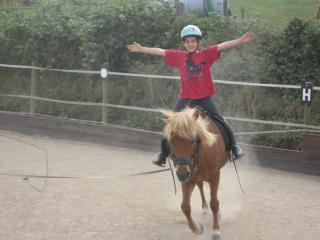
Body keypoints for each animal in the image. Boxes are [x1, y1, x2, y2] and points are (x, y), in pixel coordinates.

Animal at [164, 108, 229, 238]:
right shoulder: (188, 178)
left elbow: (214, 203)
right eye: (171, 141)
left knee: (212, 195)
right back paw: (204, 207)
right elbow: (185, 206)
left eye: (192, 140)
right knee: (200, 186)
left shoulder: (215, 176)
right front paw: (196, 228)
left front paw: (216, 230)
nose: (182, 174)